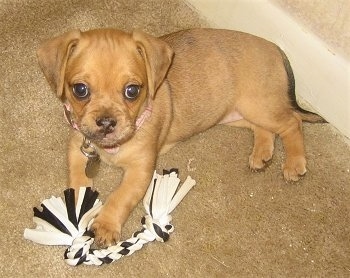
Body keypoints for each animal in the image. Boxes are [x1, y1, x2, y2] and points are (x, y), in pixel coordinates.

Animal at [37, 27, 324, 245]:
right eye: (80, 89)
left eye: (132, 91)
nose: (106, 123)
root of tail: (274, 48)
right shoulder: (78, 148)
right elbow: (77, 181)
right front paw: (78, 207)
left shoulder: (141, 169)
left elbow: (120, 197)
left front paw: (106, 225)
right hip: (238, 112)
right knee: (265, 128)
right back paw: (262, 154)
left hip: (258, 105)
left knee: (292, 122)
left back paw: (294, 163)